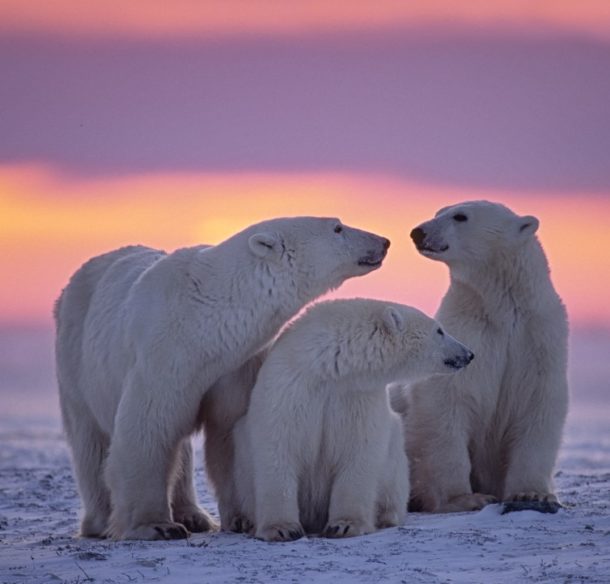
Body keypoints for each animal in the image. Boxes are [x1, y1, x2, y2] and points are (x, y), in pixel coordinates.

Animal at [53, 217, 390, 540]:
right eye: (338, 227)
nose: (384, 241)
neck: (205, 320)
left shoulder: (235, 365)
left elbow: (229, 431)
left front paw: (242, 518)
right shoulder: (162, 356)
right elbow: (148, 429)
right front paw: (156, 526)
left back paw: (194, 515)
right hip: (76, 360)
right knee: (90, 441)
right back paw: (100, 522)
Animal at [230, 298, 472, 540]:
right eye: (439, 330)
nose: (469, 354)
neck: (329, 368)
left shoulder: (357, 396)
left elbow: (358, 451)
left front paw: (345, 525)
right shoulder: (290, 387)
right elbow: (278, 447)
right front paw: (282, 529)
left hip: (395, 457)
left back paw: (386, 516)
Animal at [396, 201, 568, 512]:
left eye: (460, 216)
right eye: (439, 211)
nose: (418, 232)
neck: (501, 309)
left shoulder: (538, 339)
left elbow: (538, 405)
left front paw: (532, 494)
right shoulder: (467, 335)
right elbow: (446, 401)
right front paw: (465, 498)